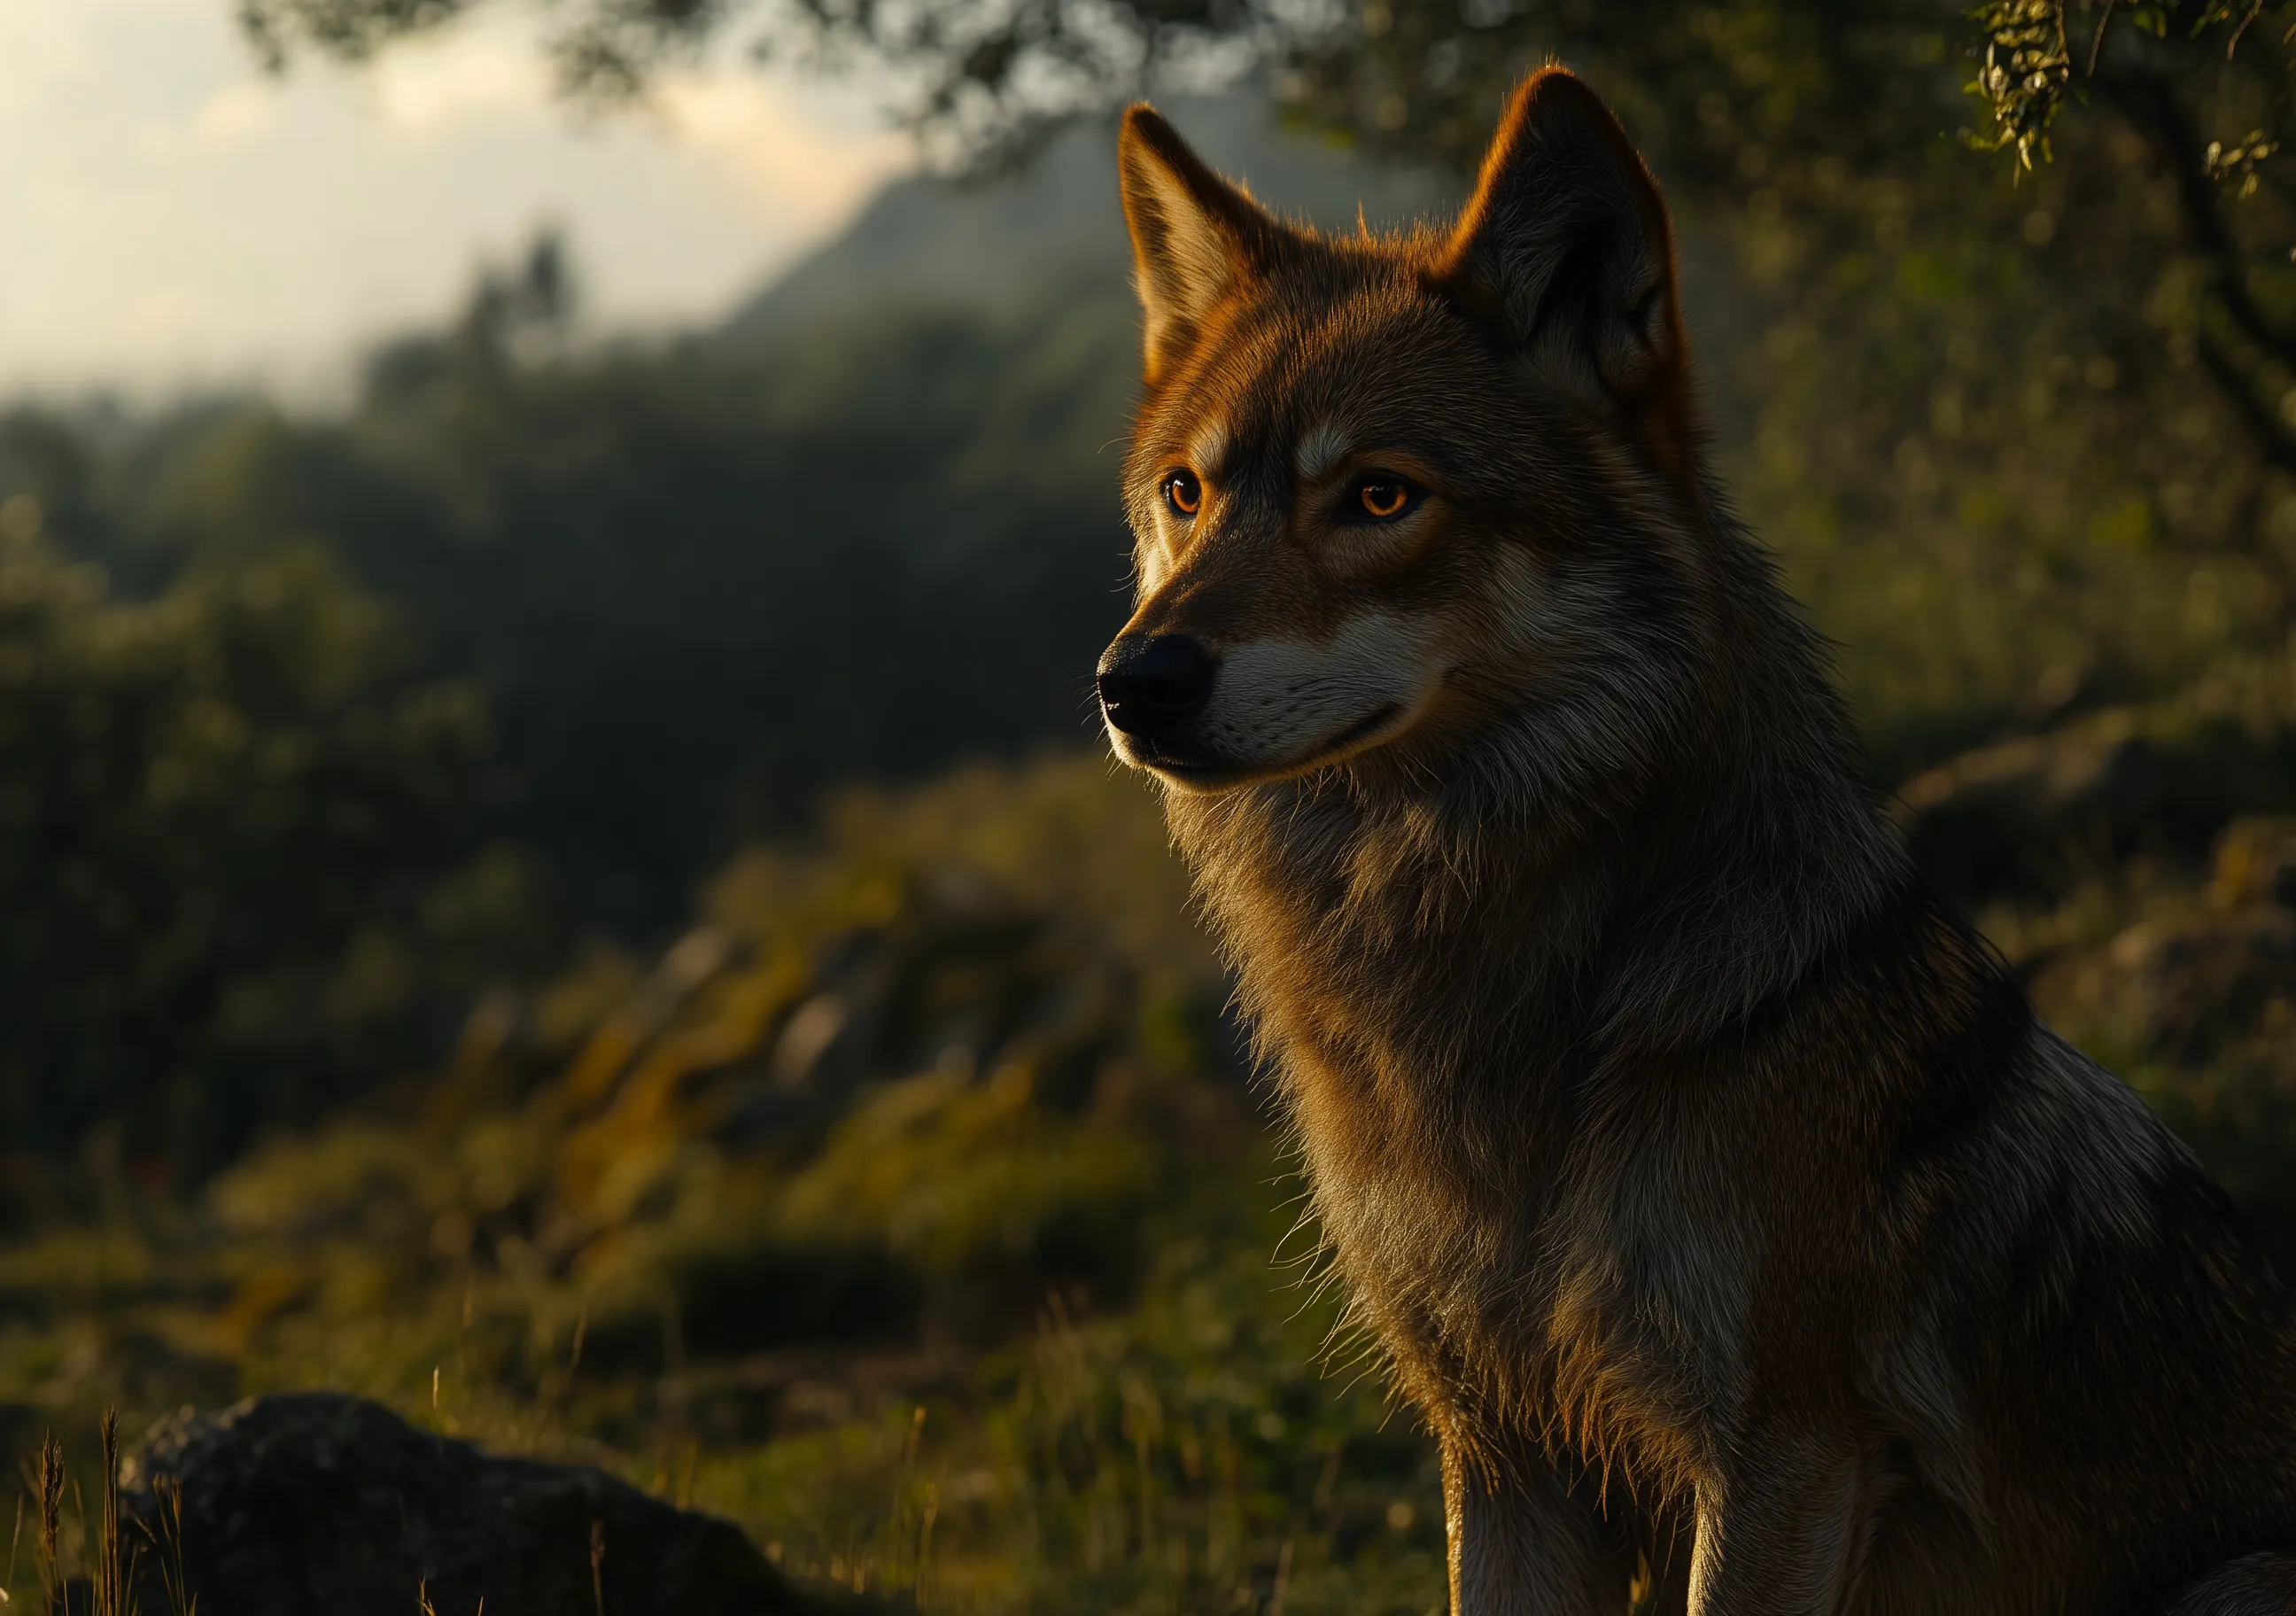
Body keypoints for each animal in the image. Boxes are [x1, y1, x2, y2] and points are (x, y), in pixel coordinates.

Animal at [1095, 69, 2296, 1614]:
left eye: (1378, 495)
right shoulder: (1504, 1450)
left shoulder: (1783, 1451)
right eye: (1186, 496)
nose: (1134, 683)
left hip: (2239, 1576)